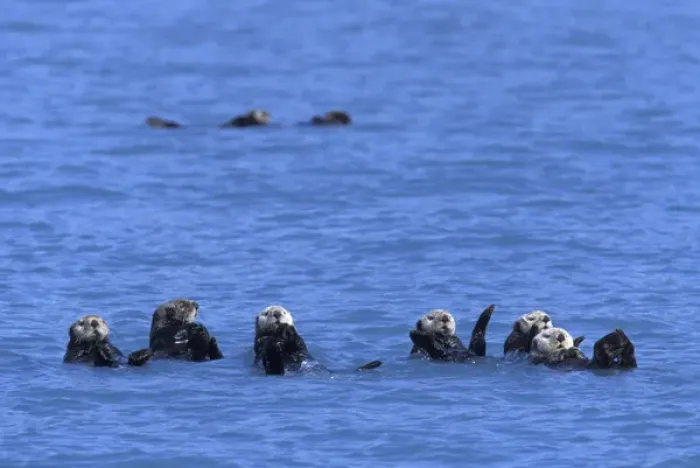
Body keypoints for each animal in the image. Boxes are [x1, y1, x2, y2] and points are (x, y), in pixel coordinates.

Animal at [253, 305, 381, 376]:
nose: (277, 314)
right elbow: (262, 343)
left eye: (284, 312)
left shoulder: (299, 342)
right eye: (266, 313)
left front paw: (286, 329)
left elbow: (298, 345)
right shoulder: (259, 342)